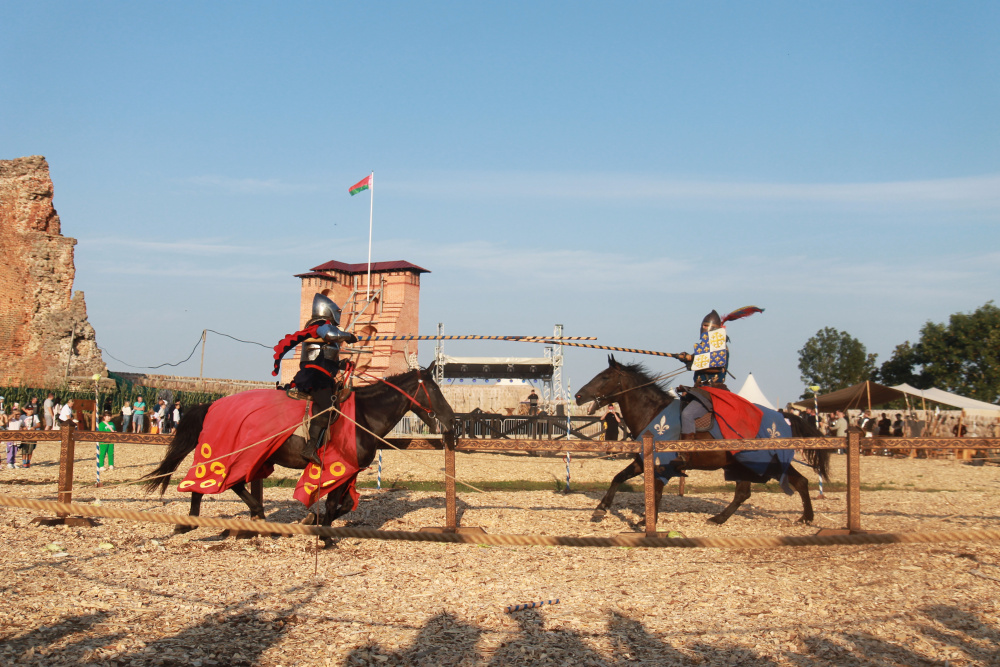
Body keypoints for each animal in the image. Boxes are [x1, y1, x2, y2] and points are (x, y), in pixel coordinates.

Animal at [145, 368, 458, 540]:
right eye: (434, 389)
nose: (451, 420)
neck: (364, 415)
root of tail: (210, 404)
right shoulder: (337, 467)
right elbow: (333, 504)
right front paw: (325, 537)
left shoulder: (350, 471)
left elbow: (344, 505)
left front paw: (313, 520)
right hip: (231, 454)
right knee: (213, 481)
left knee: (222, 484)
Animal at [576, 358, 832, 528]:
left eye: (605, 377)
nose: (579, 396)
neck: (653, 413)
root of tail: (781, 417)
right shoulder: (642, 462)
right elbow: (618, 478)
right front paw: (600, 509)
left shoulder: (661, 465)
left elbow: (655, 491)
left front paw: (646, 521)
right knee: (751, 491)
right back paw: (720, 518)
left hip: (764, 461)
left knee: (793, 483)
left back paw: (806, 517)